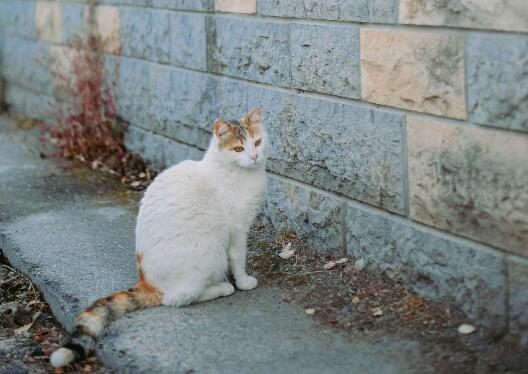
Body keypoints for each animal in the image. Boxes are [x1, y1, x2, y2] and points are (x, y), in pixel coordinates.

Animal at [50, 106, 268, 366]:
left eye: (258, 142)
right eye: (238, 149)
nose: (254, 157)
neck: (236, 172)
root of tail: (147, 282)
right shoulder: (237, 229)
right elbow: (238, 258)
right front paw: (243, 281)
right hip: (209, 252)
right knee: (177, 299)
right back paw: (222, 287)